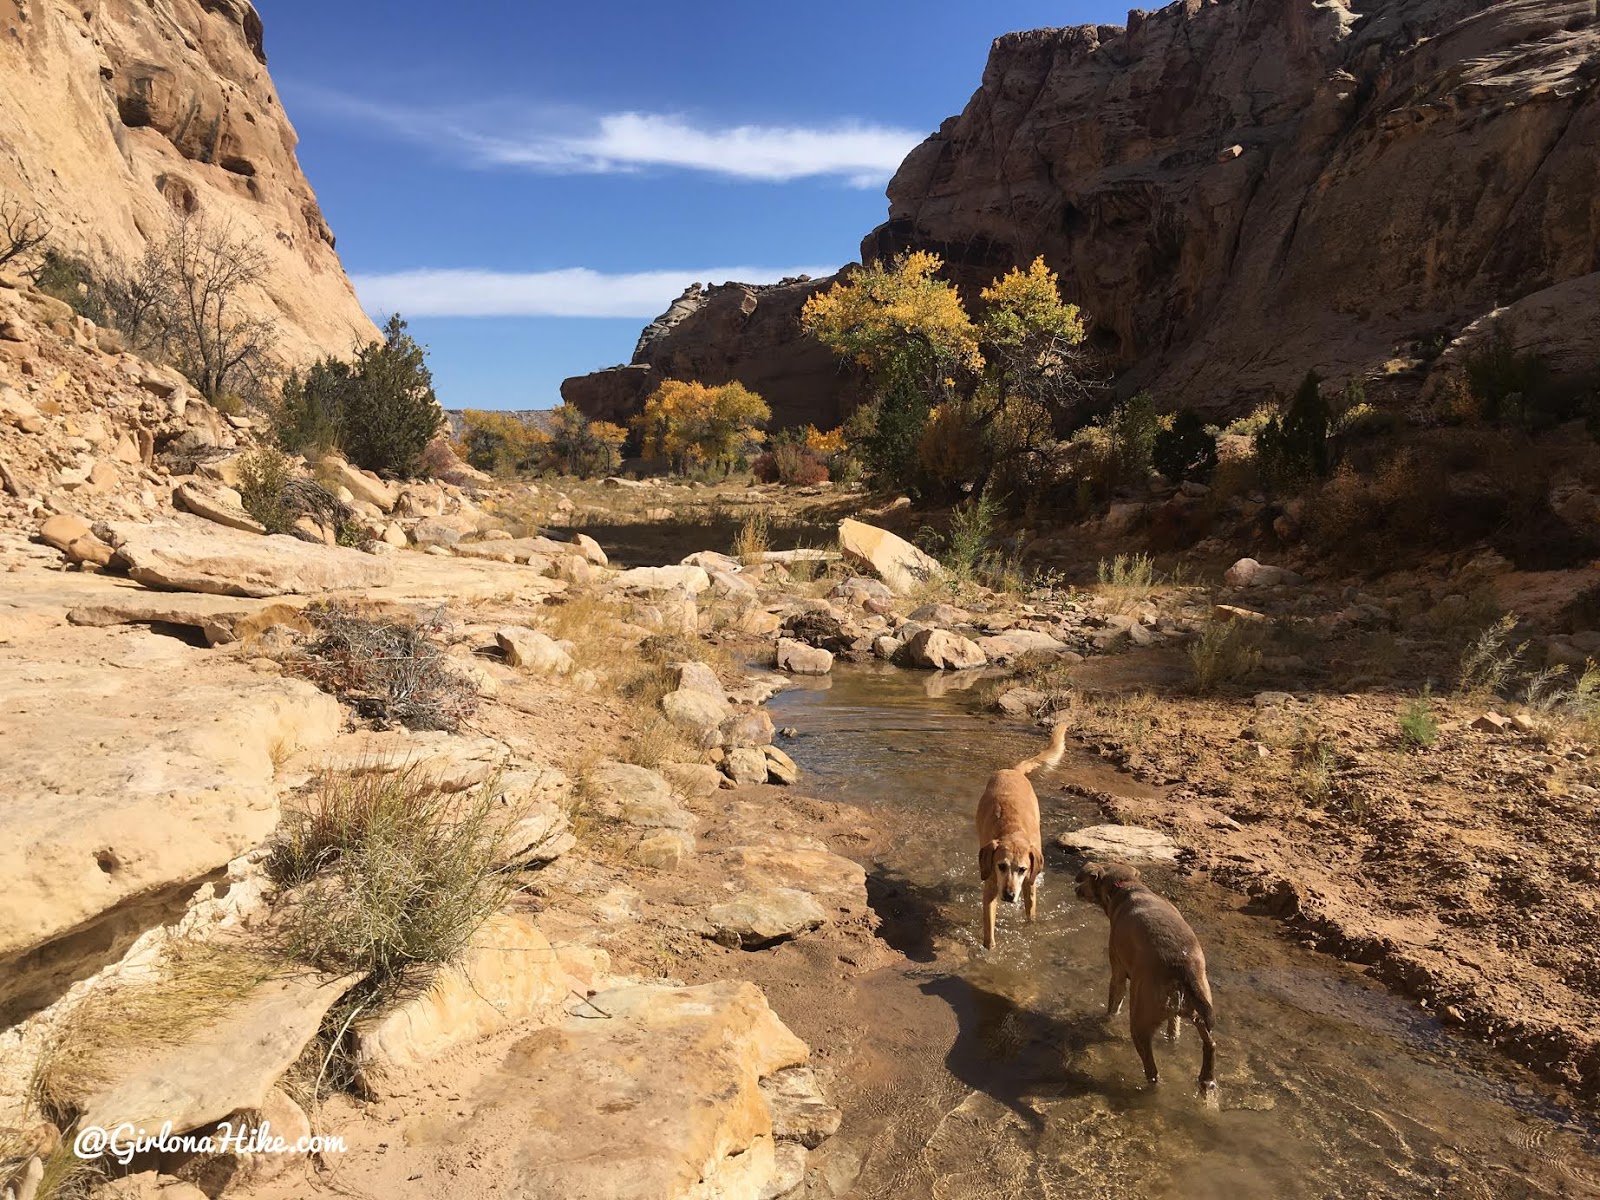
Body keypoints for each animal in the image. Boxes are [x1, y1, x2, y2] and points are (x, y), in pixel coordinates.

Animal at [972, 723, 1062, 947]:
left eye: (1022, 869)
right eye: (1001, 866)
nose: (1009, 895)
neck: (1012, 832)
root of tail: (1013, 771)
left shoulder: (1030, 883)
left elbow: (1031, 912)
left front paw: (1031, 928)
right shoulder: (991, 885)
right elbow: (989, 928)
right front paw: (989, 948)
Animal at [1068, 857, 1216, 1094]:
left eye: (1085, 881)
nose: (1076, 889)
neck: (1127, 886)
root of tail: (1182, 968)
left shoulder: (1118, 971)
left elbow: (1113, 1005)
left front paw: (1107, 1018)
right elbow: (1174, 1028)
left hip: (1140, 1021)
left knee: (1152, 1070)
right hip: (1200, 1009)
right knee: (1209, 1044)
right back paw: (1206, 1080)